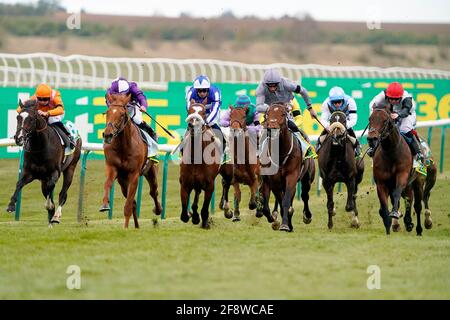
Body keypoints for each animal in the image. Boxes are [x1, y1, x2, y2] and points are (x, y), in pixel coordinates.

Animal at [100, 92, 162, 228]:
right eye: (107, 112)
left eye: (122, 114)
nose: (107, 135)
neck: (124, 146)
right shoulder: (112, 168)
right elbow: (107, 183)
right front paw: (105, 204)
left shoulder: (134, 174)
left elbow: (128, 205)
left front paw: (125, 228)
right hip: (123, 182)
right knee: (133, 201)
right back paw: (137, 226)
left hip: (151, 171)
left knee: (153, 191)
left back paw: (158, 209)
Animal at [179, 101, 221, 229]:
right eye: (189, 111)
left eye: (202, 113)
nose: (192, 125)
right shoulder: (185, 183)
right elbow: (184, 214)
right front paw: (193, 216)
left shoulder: (210, 185)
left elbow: (205, 208)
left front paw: (204, 221)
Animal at [258, 102, 314, 230]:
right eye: (267, 114)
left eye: (283, 114)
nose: (272, 127)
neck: (280, 153)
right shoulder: (273, 180)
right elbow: (279, 200)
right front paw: (280, 222)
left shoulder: (291, 176)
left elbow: (286, 200)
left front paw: (284, 225)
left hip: (307, 177)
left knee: (305, 195)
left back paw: (307, 216)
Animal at [368, 107, 428, 235]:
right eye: (370, 119)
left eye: (385, 121)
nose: (371, 139)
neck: (390, 152)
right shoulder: (381, 183)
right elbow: (384, 204)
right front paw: (388, 226)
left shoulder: (402, 176)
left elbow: (397, 194)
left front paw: (395, 213)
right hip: (407, 185)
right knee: (408, 198)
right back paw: (408, 222)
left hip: (418, 182)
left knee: (417, 206)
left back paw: (419, 229)